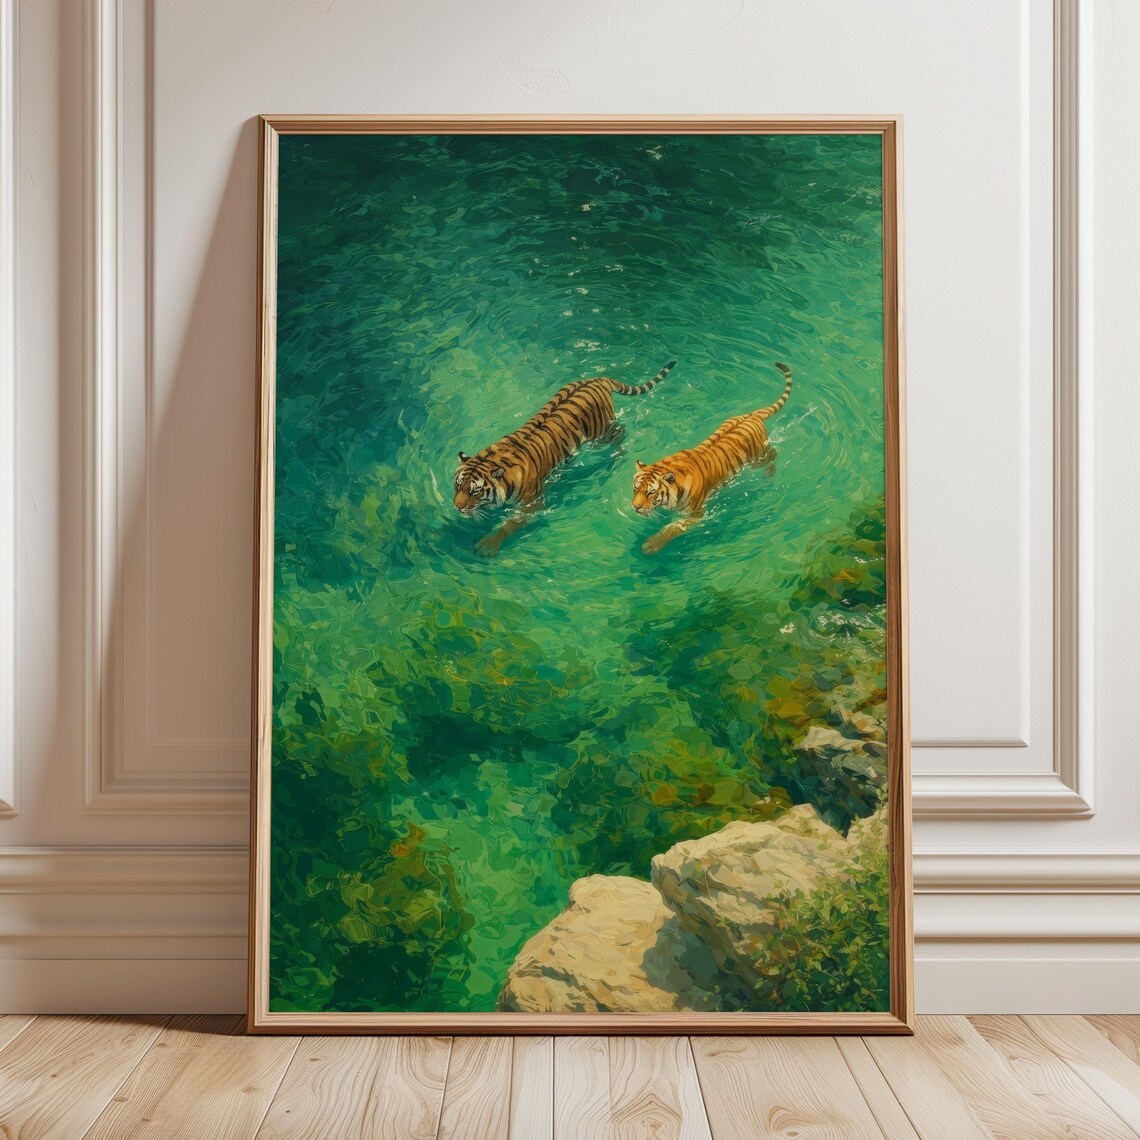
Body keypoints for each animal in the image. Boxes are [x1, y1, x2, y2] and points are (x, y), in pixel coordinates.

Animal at [454, 359, 676, 556]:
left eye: (475, 490)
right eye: (458, 485)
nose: (457, 506)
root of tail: (598, 379)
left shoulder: (532, 505)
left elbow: (509, 524)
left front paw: (487, 545)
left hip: (601, 434)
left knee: (619, 434)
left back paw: (618, 455)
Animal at [632, 361, 792, 554]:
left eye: (651, 492)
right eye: (635, 489)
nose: (635, 507)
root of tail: (752, 415)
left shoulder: (696, 514)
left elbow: (674, 527)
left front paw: (651, 545)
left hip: (758, 458)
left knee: (773, 452)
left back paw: (769, 474)